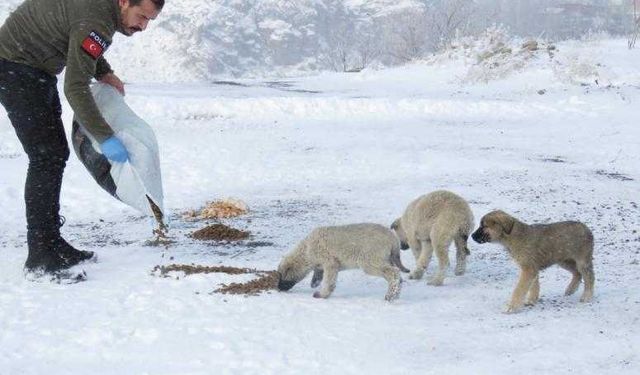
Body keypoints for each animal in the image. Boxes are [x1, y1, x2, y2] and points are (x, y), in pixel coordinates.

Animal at [276, 223, 408, 302]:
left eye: (281, 276)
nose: (279, 288)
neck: (306, 250)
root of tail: (393, 238)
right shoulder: (321, 263)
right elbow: (318, 271)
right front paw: (314, 282)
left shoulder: (330, 262)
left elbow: (329, 281)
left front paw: (321, 294)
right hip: (387, 259)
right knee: (394, 275)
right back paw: (396, 293)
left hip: (370, 260)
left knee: (394, 273)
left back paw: (390, 295)